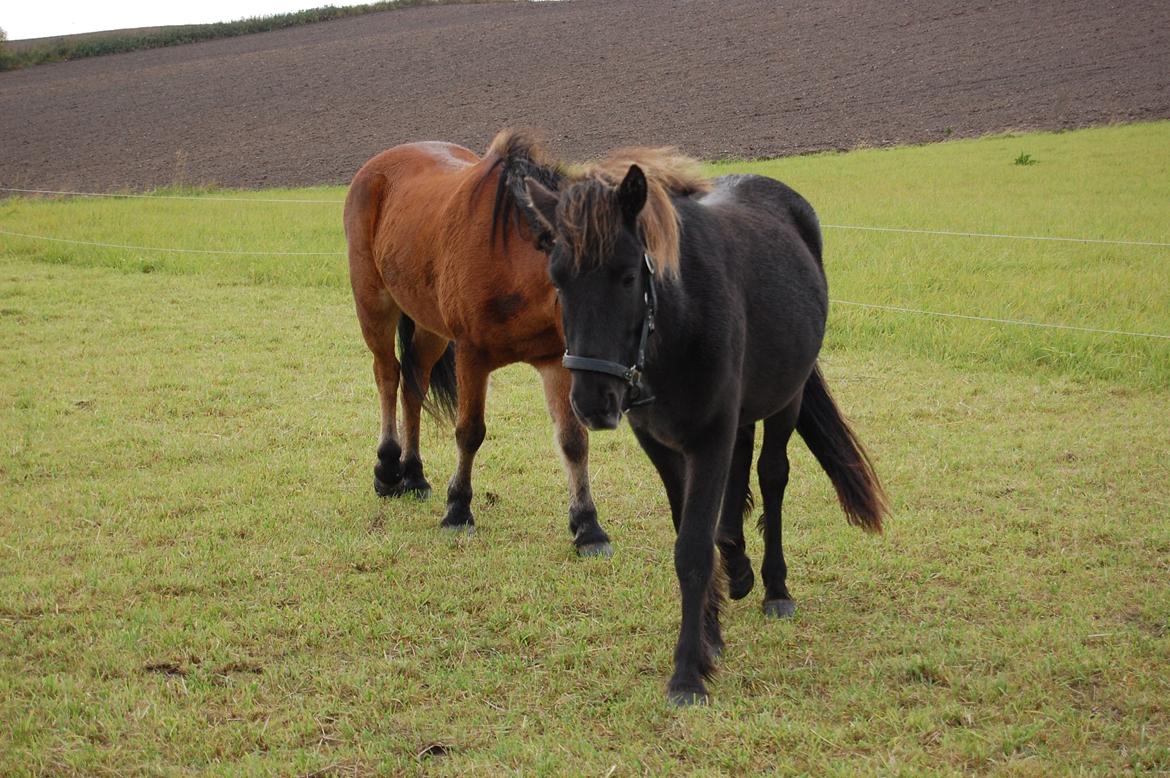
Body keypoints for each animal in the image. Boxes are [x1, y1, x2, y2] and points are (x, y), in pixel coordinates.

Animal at [341, 130, 613, 554]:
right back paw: (387, 469)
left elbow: (573, 440)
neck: (511, 261)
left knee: (413, 384)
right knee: (387, 375)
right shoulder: (471, 356)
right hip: (373, 304)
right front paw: (458, 511)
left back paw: (413, 475)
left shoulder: (555, 360)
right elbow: (469, 432)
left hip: (431, 328)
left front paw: (588, 526)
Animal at [524, 157, 884, 701]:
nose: (591, 402)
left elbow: (693, 548)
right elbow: (692, 532)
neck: (676, 325)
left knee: (771, 475)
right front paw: (711, 633)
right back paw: (738, 567)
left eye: (627, 276)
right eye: (558, 281)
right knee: (739, 475)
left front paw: (688, 671)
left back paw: (775, 587)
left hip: (787, 398)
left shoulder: (709, 436)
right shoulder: (662, 444)